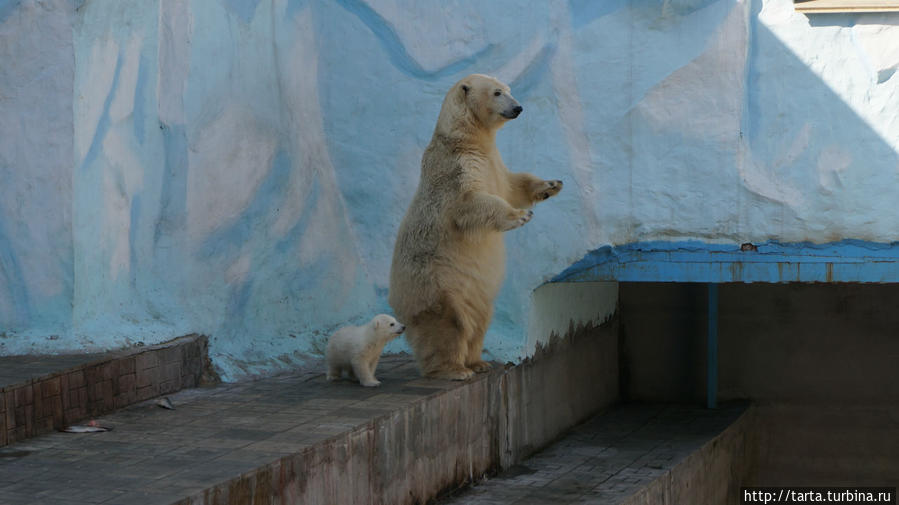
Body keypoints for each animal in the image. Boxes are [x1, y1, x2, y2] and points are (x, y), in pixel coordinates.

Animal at [388, 74, 564, 378]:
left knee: (479, 319)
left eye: (508, 90)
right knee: (448, 324)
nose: (518, 108)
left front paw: (551, 185)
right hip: (437, 284)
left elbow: (511, 185)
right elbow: (471, 202)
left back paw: (478, 362)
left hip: (474, 292)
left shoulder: (493, 162)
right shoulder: (458, 168)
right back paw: (454, 369)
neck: (466, 139)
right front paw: (520, 215)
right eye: (497, 93)